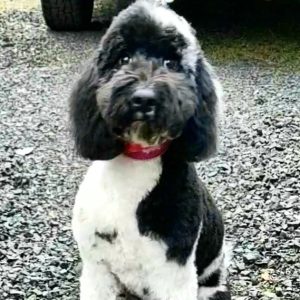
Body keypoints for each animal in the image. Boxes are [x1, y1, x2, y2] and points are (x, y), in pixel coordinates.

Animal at [69, 1, 231, 298]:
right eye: (122, 59)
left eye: (172, 63)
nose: (144, 99)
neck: (137, 163)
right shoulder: (97, 269)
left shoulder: (174, 274)